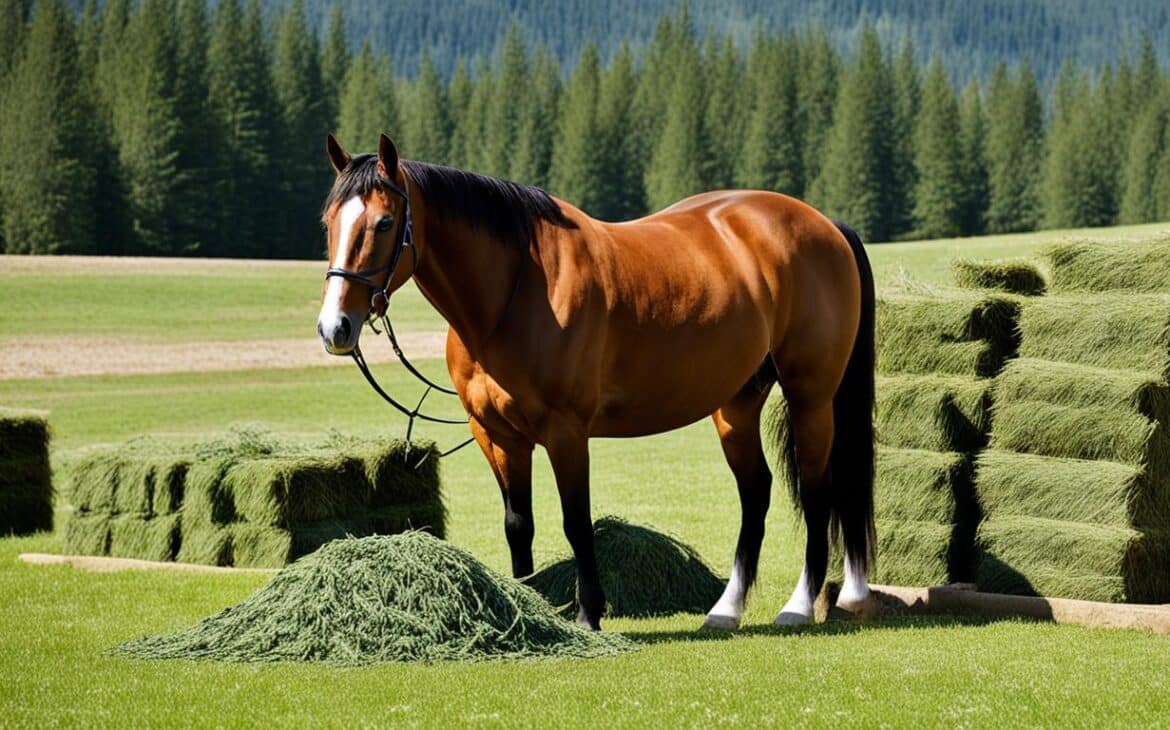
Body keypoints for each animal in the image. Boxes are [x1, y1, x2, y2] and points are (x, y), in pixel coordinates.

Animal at [315, 133, 875, 631]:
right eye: (329, 221)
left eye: (385, 222)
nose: (334, 328)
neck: (519, 290)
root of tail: (823, 223)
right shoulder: (498, 437)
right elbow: (519, 525)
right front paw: (533, 611)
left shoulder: (566, 432)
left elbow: (575, 522)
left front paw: (588, 614)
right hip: (736, 404)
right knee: (756, 492)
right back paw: (725, 609)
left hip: (811, 396)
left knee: (820, 491)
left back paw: (798, 606)